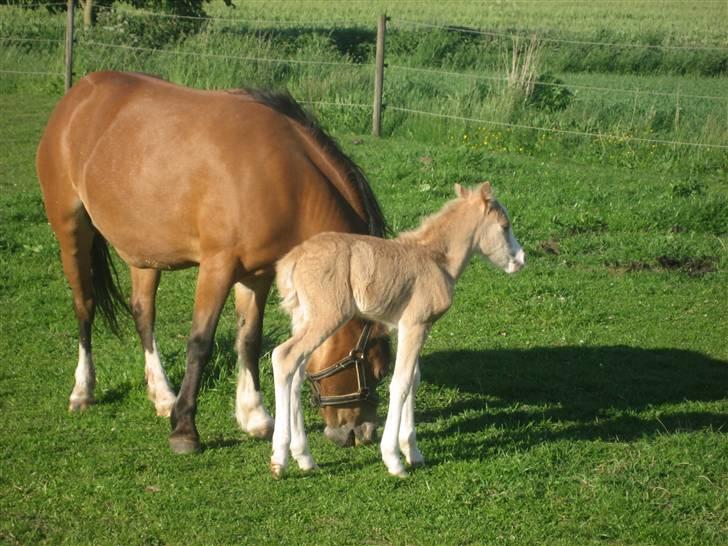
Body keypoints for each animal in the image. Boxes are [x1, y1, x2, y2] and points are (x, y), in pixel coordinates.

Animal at [36, 71, 392, 450]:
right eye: (374, 368)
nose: (362, 433)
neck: (285, 178)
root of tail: (79, 93)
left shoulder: (257, 274)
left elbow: (249, 339)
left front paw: (254, 416)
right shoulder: (217, 268)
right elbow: (200, 343)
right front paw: (184, 428)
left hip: (145, 253)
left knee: (143, 313)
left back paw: (162, 395)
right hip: (71, 231)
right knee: (84, 305)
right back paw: (83, 390)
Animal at [270, 181, 528, 474]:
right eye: (505, 226)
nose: (521, 260)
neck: (436, 258)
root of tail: (290, 261)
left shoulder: (410, 327)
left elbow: (414, 380)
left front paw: (412, 451)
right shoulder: (415, 324)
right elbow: (401, 383)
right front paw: (394, 459)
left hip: (302, 318)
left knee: (296, 373)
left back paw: (304, 457)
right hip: (326, 317)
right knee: (283, 356)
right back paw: (279, 459)